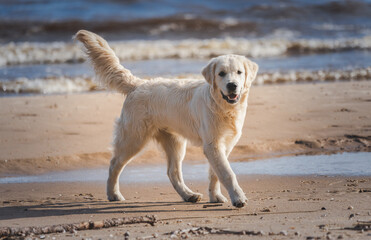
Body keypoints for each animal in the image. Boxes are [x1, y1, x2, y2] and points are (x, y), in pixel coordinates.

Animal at [75, 30, 258, 207]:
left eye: (239, 72)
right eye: (221, 74)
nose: (232, 85)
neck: (224, 108)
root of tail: (138, 84)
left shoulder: (224, 144)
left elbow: (216, 173)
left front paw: (215, 196)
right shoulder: (213, 144)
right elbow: (227, 173)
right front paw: (238, 198)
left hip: (174, 142)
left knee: (172, 172)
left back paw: (189, 195)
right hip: (134, 138)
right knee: (114, 164)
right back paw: (113, 194)